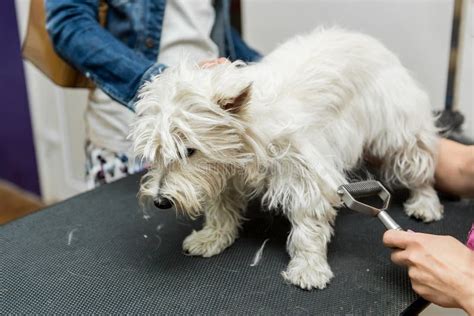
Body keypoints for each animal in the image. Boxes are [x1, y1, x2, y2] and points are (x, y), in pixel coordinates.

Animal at [131, 28, 444, 290]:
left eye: (188, 150)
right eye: (155, 152)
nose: (160, 201)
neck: (246, 139)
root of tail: (369, 39)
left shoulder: (305, 172)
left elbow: (308, 225)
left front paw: (308, 268)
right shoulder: (224, 174)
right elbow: (221, 209)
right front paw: (212, 236)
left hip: (399, 128)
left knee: (419, 165)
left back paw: (425, 203)